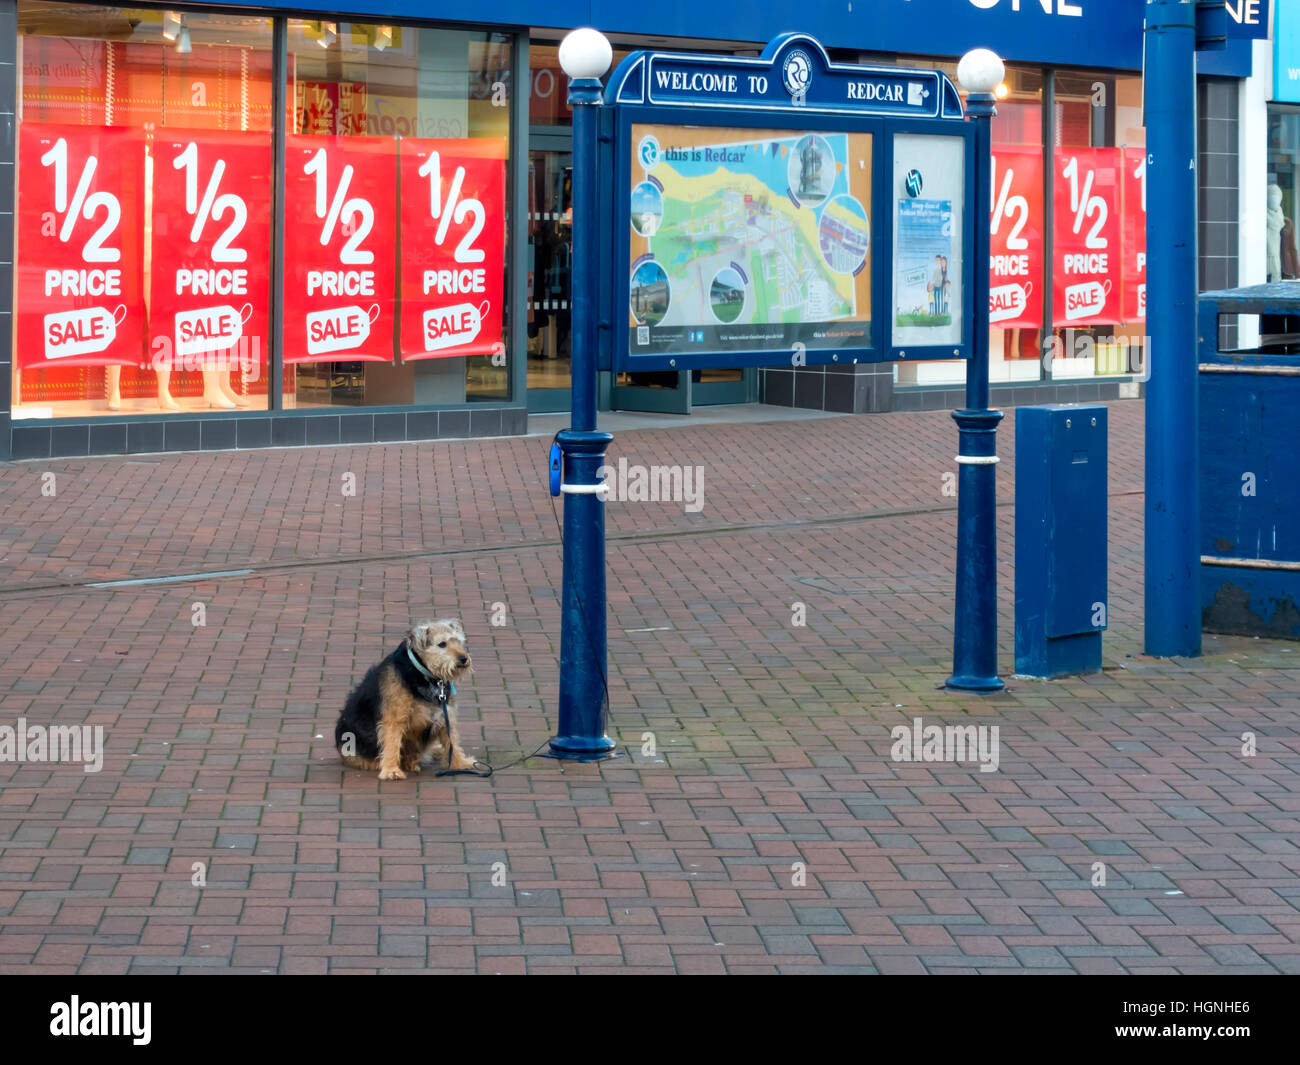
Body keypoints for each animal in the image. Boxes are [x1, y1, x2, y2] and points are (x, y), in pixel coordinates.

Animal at [335, 616, 478, 785]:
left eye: (458, 641)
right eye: (442, 644)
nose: (464, 658)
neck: (425, 674)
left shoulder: (445, 715)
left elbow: (452, 741)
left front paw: (459, 763)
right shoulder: (395, 718)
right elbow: (392, 742)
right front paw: (391, 770)